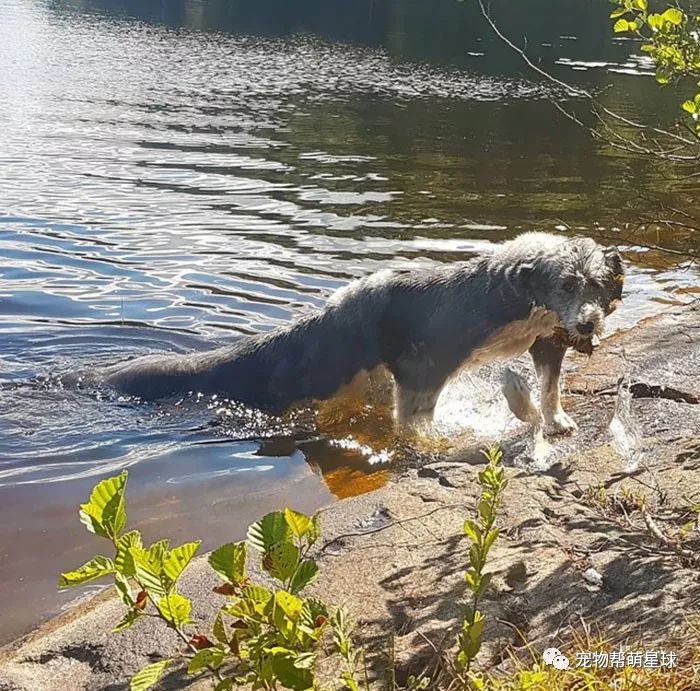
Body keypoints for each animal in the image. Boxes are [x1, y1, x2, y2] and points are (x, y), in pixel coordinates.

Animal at [97, 235, 624, 436]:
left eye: (599, 285)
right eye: (566, 285)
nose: (588, 324)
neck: (510, 295)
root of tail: (323, 318)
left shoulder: (548, 341)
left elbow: (550, 387)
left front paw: (555, 420)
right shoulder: (423, 367)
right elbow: (415, 419)